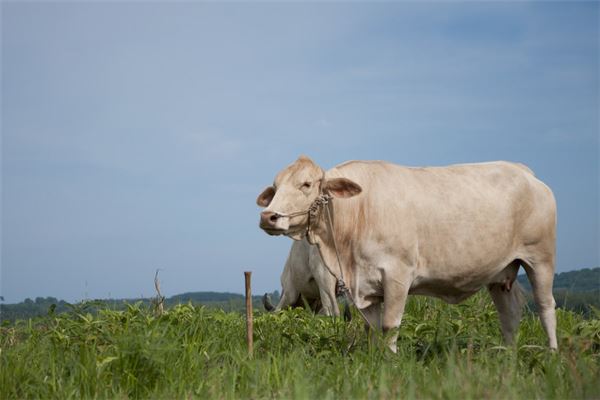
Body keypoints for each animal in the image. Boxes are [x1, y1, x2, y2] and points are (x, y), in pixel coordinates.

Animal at [254, 155, 556, 352]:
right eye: (275, 186)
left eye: (306, 184)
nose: (268, 217)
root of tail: (524, 172)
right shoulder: (365, 286)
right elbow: (372, 329)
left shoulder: (397, 275)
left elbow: (389, 326)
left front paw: (390, 361)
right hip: (500, 273)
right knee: (510, 313)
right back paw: (508, 357)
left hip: (540, 260)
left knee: (545, 306)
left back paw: (552, 355)